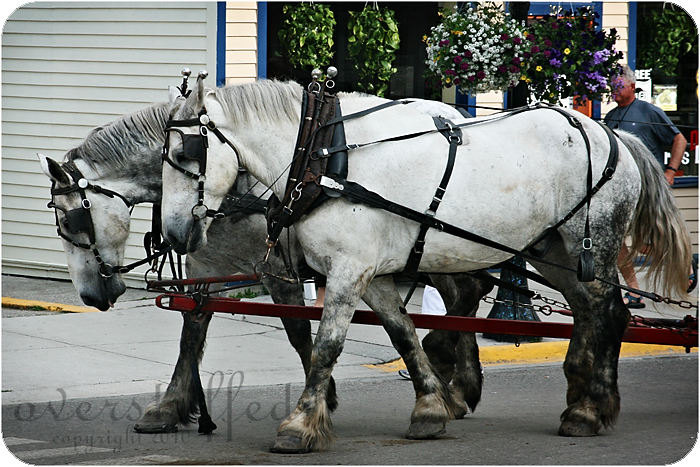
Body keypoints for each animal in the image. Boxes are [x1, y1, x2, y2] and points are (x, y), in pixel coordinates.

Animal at [38, 98, 486, 436]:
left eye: (70, 222)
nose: (89, 295)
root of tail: (453, 114)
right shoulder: (205, 264)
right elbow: (191, 334)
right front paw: (170, 406)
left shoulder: (276, 268)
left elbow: (299, 332)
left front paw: (321, 400)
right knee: (467, 291)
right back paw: (460, 384)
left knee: (467, 291)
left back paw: (449, 369)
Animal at [161, 77, 692, 454]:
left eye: (185, 153)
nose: (172, 235)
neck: (324, 155)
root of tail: (612, 132)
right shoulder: (371, 273)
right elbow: (403, 334)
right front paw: (431, 408)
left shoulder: (348, 269)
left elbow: (327, 346)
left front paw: (301, 423)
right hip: (555, 249)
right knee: (589, 311)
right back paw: (581, 399)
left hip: (592, 242)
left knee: (608, 313)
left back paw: (592, 407)